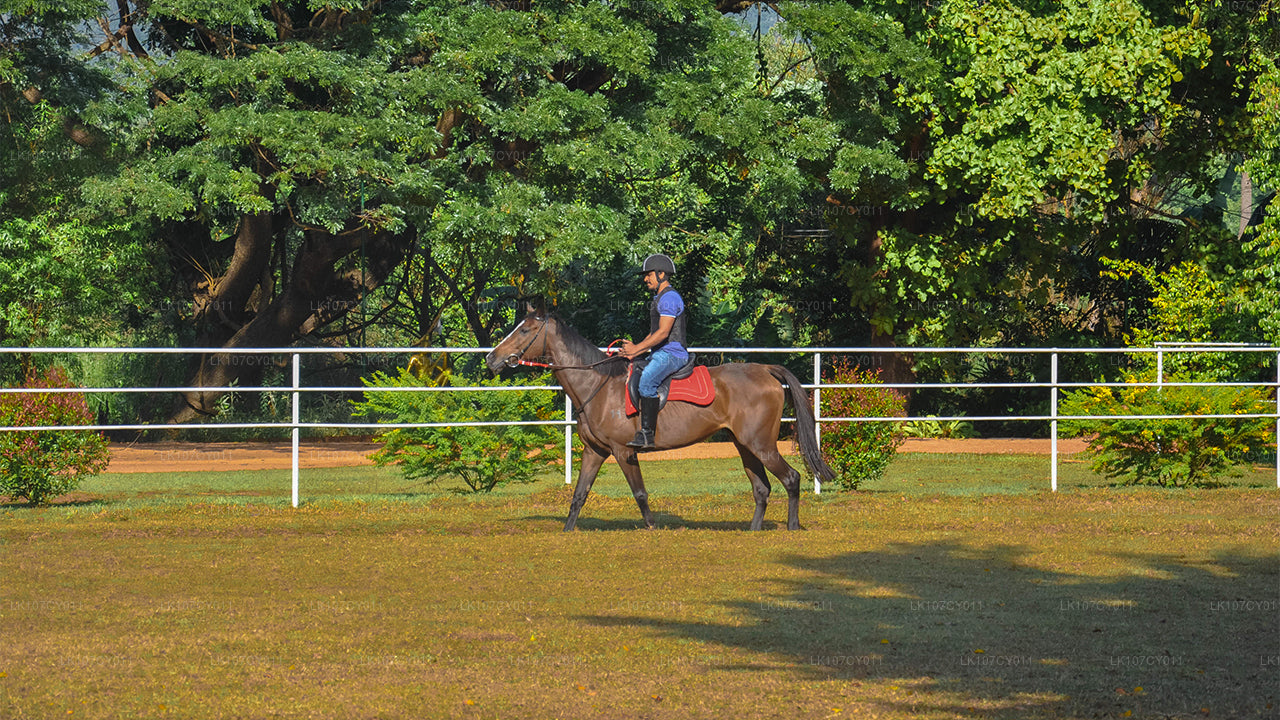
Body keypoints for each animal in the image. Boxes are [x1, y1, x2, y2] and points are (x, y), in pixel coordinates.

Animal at [483, 299, 834, 530]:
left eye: (525, 329)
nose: (491, 359)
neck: (598, 384)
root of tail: (765, 369)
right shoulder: (594, 451)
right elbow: (579, 494)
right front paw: (569, 530)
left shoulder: (623, 451)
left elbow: (639, 493)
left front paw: (652, 528)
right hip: (744, 445)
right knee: (761, 489)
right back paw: (753, 530)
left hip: (761, 444)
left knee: (791, 478)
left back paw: (792, 527)